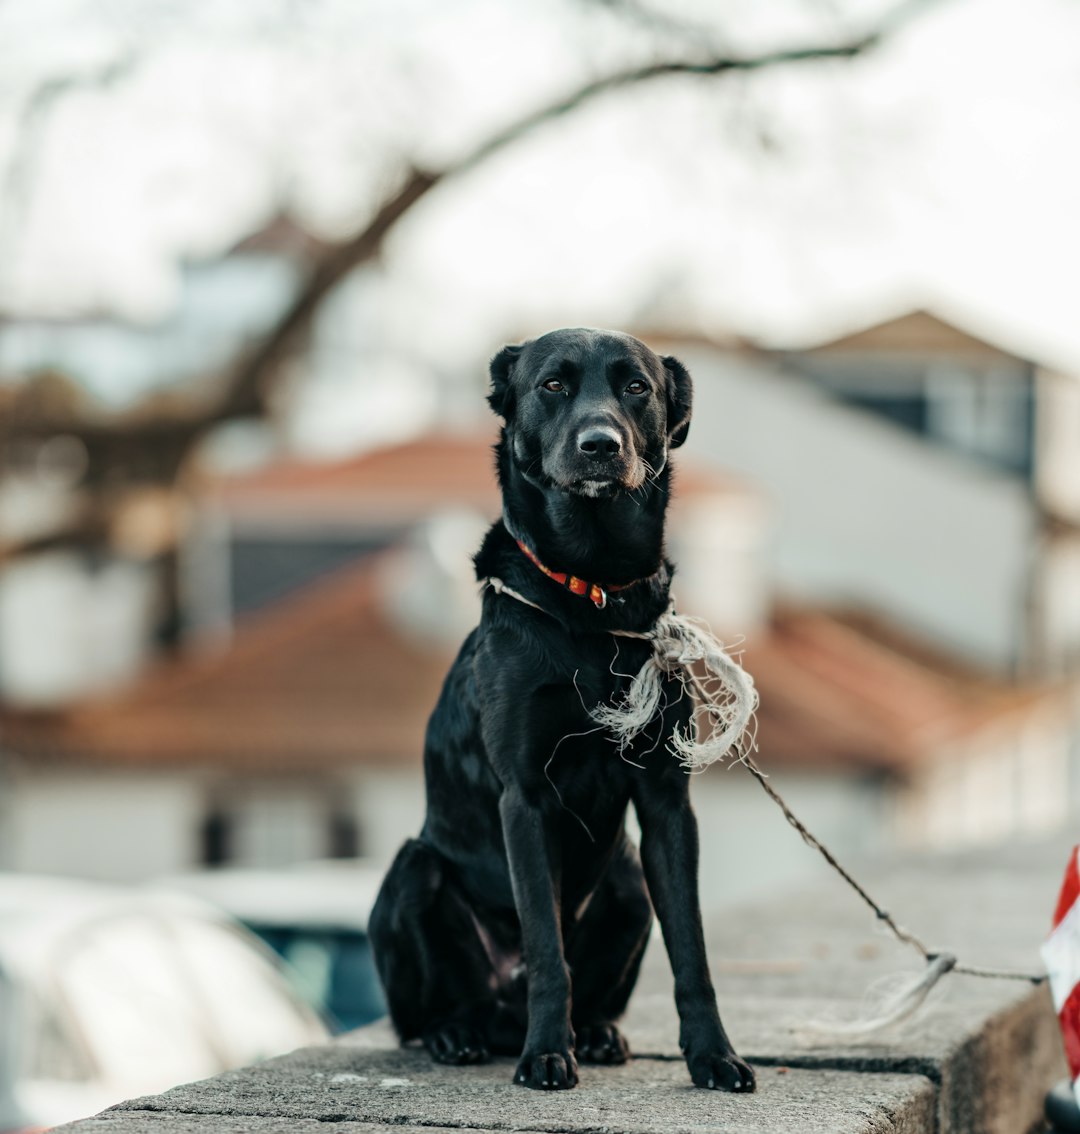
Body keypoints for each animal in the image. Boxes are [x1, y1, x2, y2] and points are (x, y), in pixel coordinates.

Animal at [367, 326, 753, 1088]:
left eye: (636, 387)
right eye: (553, 385)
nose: (600, 444)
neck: (592, 600)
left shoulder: (667, 802)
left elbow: (691, 951)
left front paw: (713, 1055)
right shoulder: (526, 797)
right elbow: (548, 950)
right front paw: (546, 1053)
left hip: (628, 880)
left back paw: (596, 1032)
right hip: (412, 868)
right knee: (427, 1015)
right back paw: (461, 1035)